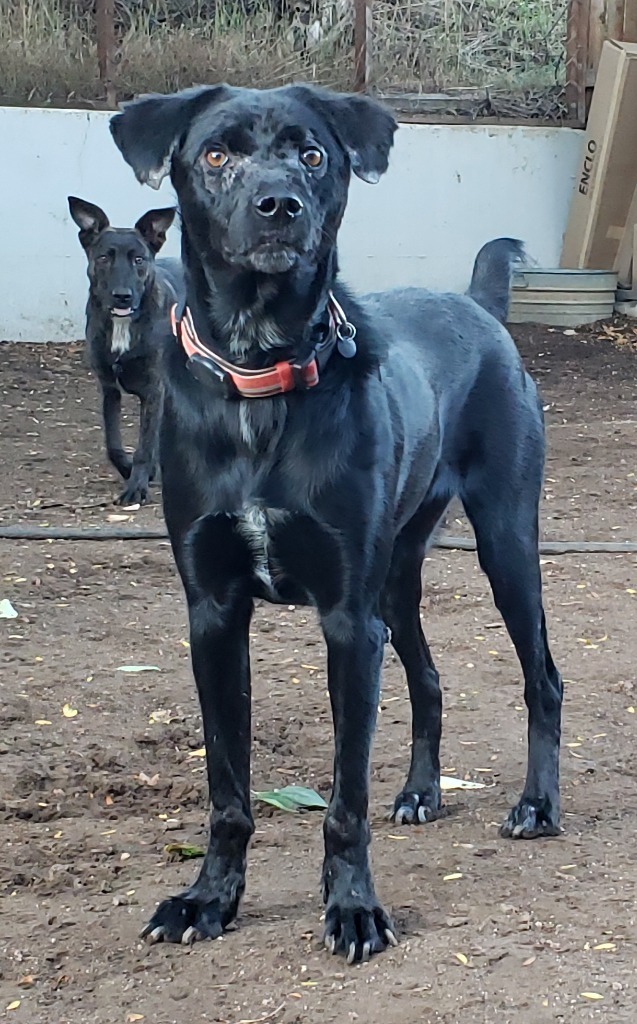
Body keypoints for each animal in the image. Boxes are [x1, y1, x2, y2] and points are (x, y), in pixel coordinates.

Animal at [67, 195, 184, 503]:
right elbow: (113, 444)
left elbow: (144, 444)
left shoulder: (154, 389)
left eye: (139, 259)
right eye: (104, 258)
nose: (123, 296)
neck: (124, 325)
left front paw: (136, 487)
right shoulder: (109, 389)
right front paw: (131, 471)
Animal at [109, 83, 565, 962]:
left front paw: (352, 907)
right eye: (215, 153)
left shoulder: (349, 623)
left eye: (313, 153)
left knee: (543, 679)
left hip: (504, 545)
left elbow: (344, 798)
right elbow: (227, 787)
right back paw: (421, 792)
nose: (278, 204)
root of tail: (474, 305)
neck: (260, 375)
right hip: (397, 580)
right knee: (427, 677)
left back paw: (537, 805)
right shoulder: (214, 615)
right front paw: (208, 899)